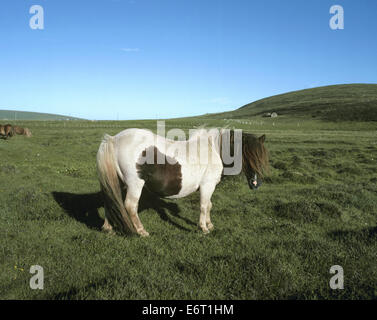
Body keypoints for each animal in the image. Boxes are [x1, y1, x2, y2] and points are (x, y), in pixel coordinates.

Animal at [97, 127, 268, 235]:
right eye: (247, 156)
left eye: (261, 157)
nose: (256, 183)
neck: (215, 151)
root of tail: (114, 139)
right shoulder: (207, 185)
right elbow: (204, 206)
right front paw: (203, 228)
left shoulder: (209, 187)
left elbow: (209, 205)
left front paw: (210, 225)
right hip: (135, 184)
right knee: (130, 206)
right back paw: (141, 231)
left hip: (118, 182)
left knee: (111, 200)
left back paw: (108, 227)